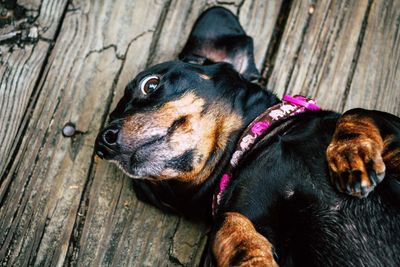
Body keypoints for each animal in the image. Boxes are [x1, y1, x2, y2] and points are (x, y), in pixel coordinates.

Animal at [96, 7, 400, 266]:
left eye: (150, 84)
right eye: (144, 189)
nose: (102, 142)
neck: (253, 147)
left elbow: (357, 111)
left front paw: (352, 156)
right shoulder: (235, 214)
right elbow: (225, 225)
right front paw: (251, 258)